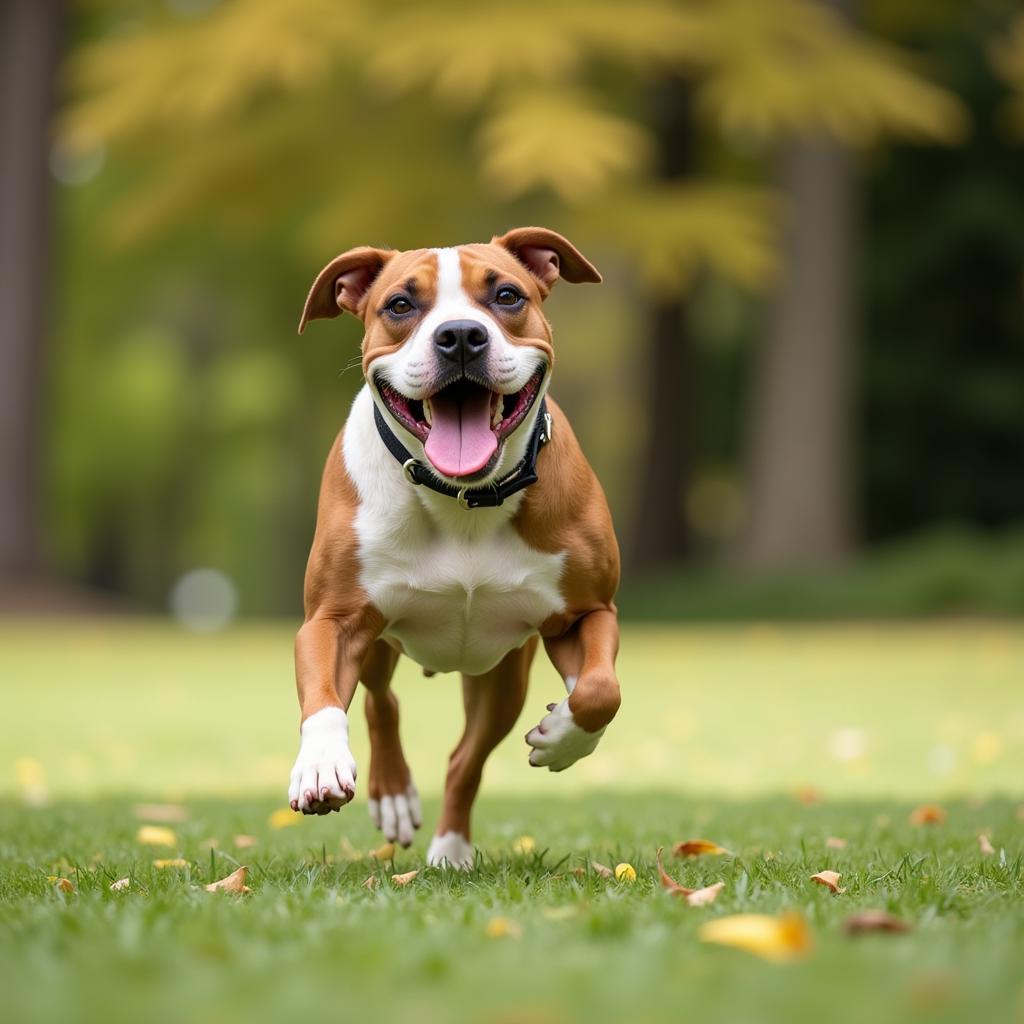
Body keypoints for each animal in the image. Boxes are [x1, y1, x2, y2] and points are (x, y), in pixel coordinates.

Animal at [290, 228, 622, 868]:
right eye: (400, 304)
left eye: (507, 295)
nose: (461, 335)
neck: (464, 498)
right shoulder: (332, 620)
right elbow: (322, 698)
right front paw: (319, 765)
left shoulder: (587, 613)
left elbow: (601, 690)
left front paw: (561, 738)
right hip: (379, 644)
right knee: (380, 702)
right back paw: (393, 795)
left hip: (502, 680)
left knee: (464, 759)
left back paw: (450, 848)